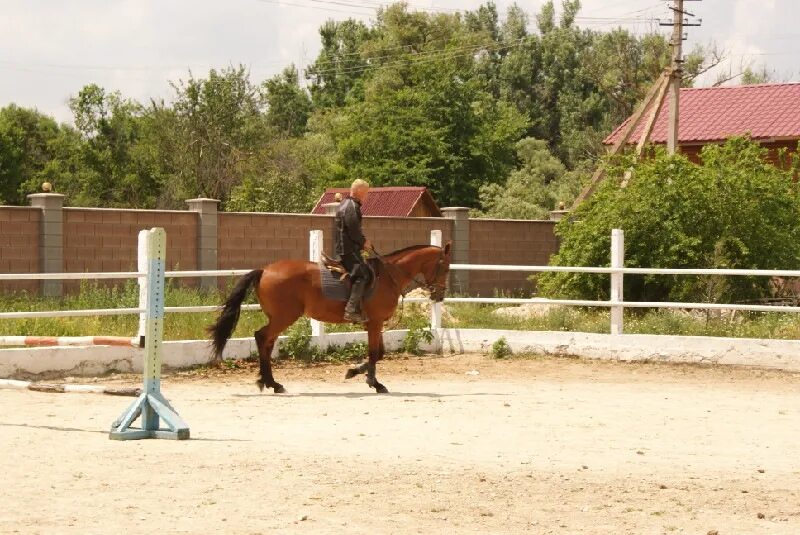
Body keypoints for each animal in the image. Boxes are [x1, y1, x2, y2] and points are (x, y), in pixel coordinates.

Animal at [208, 243, 450, 394]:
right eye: (445, 267)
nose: (439, 295)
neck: (388, 276)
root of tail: (264, 270)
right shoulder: (375, 322)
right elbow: (374, 353)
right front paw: (374, 383)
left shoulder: (374, 323)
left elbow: (380, 353)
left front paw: (355, 372)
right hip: (284, 317)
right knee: (261, 338)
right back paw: (272, 383)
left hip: (278, 318)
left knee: (266, 342)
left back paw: (269, 382)